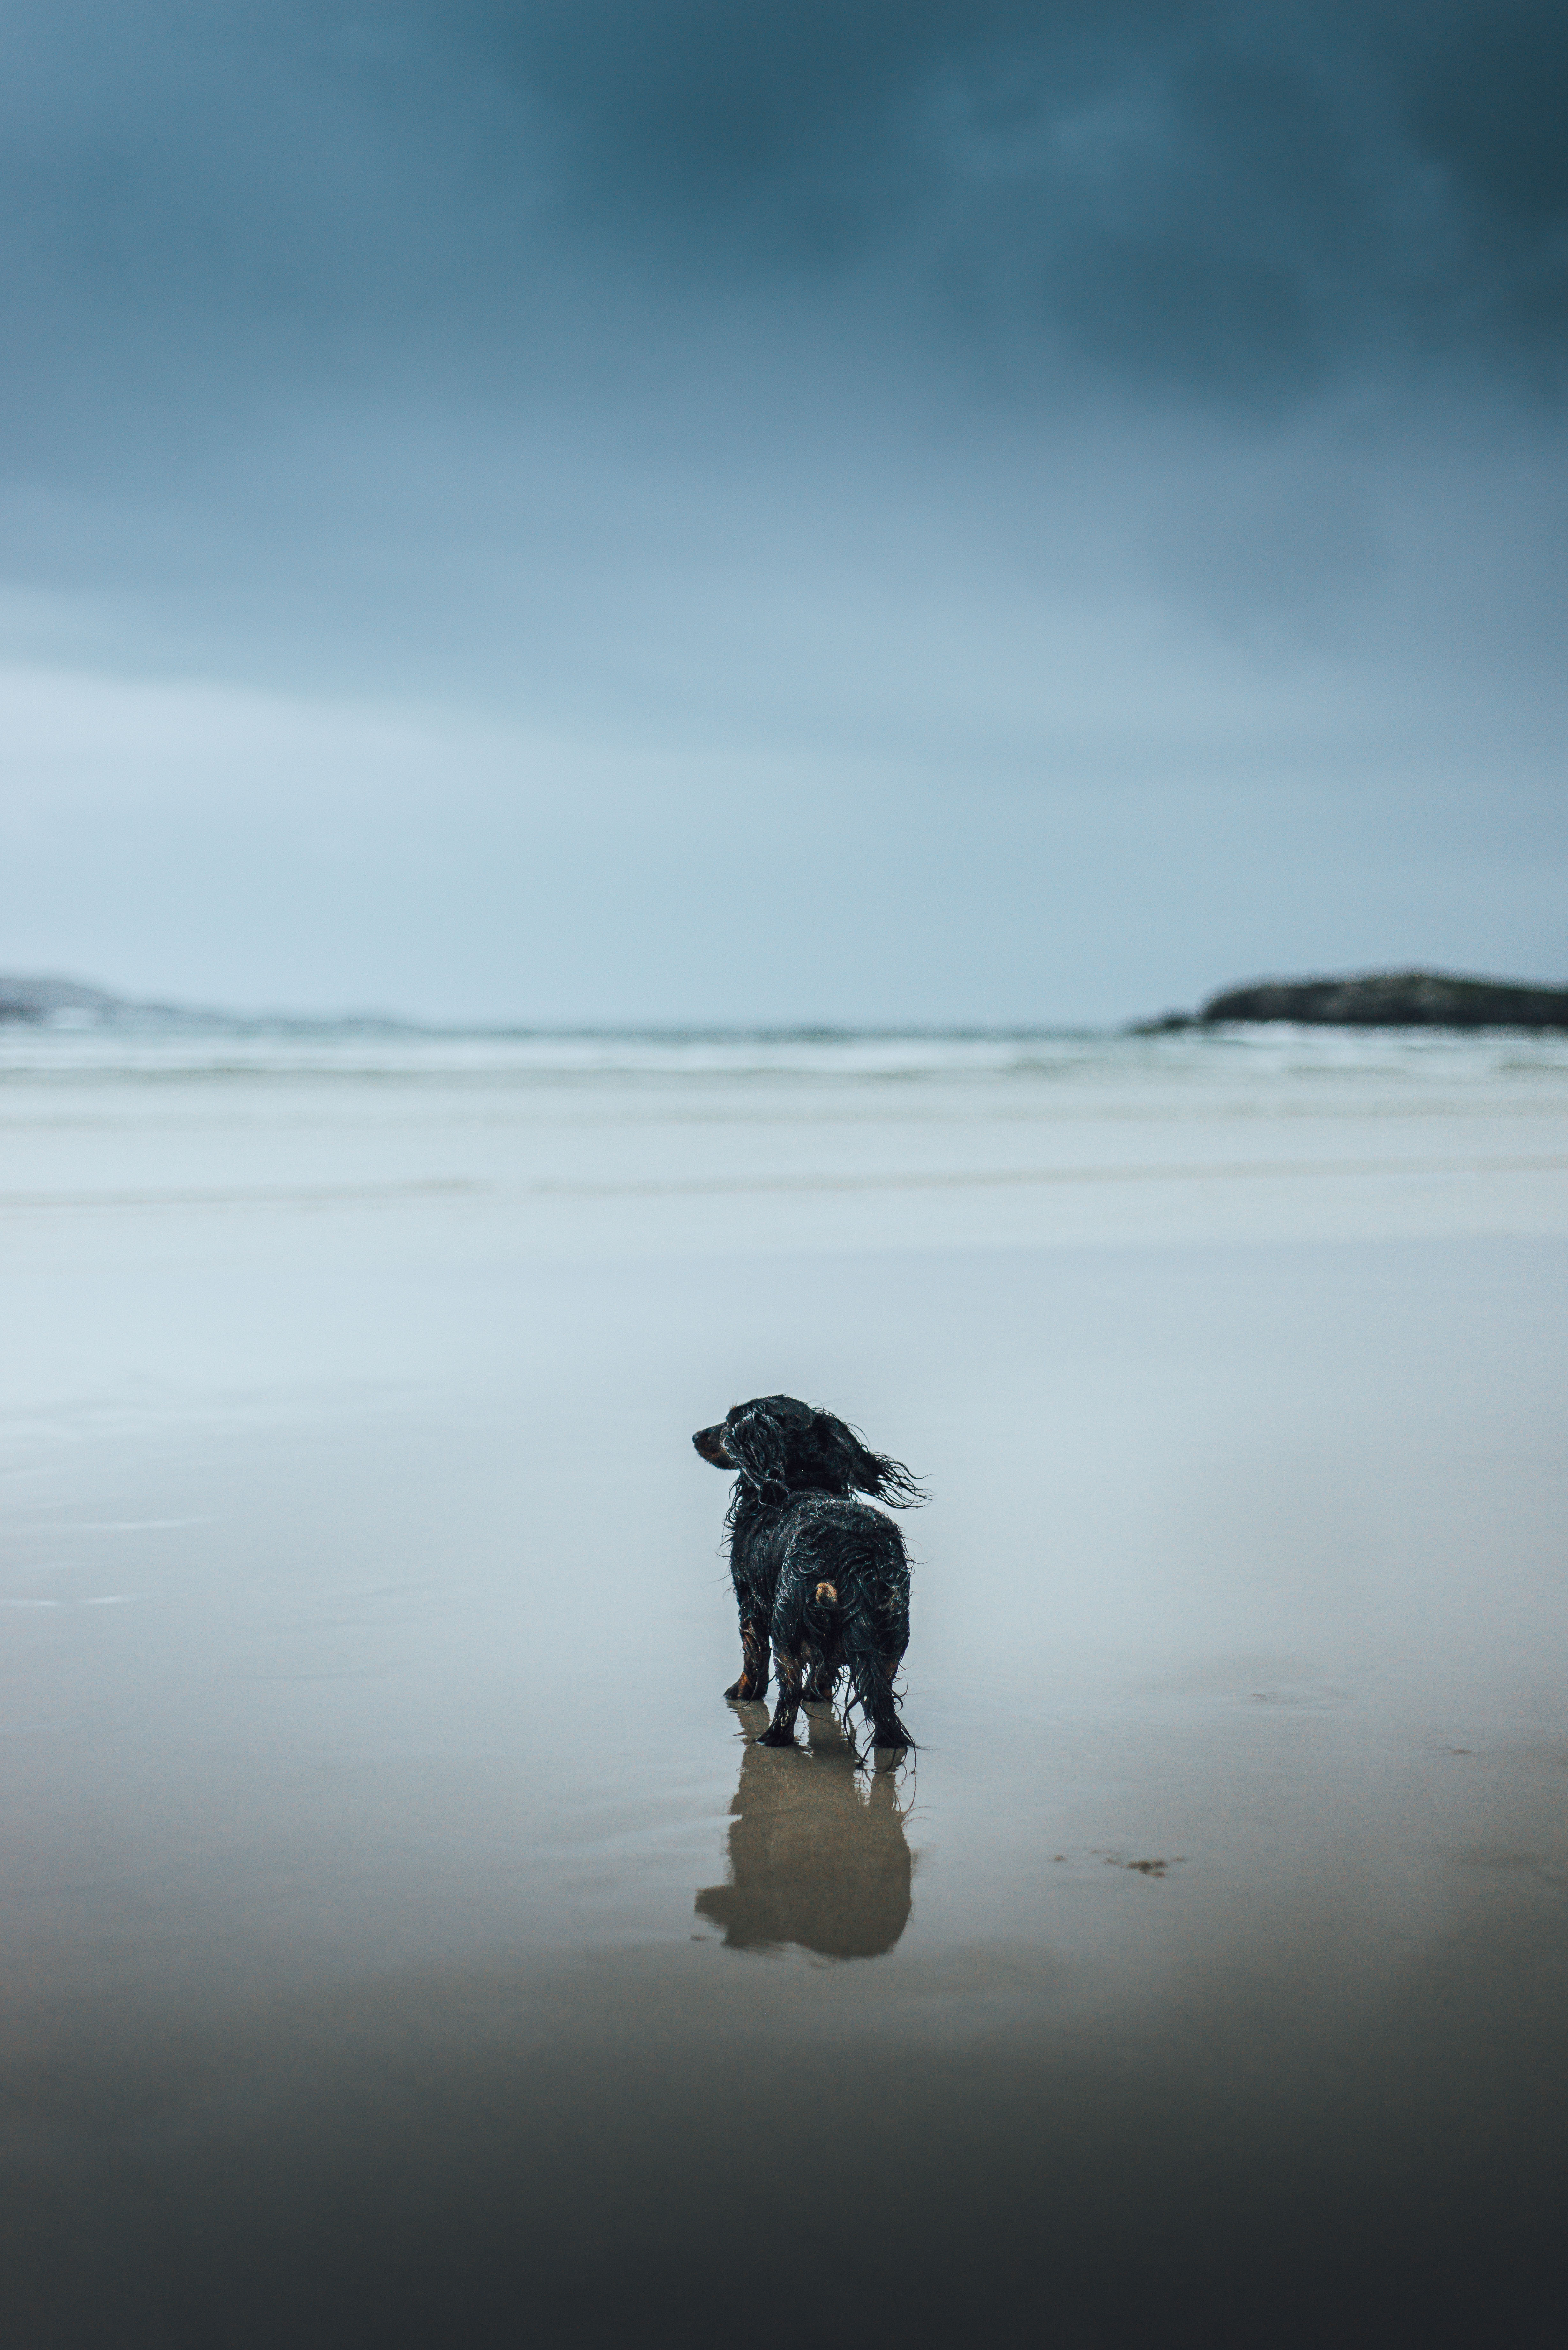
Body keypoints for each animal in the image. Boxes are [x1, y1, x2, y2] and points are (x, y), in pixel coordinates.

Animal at [691, 1382, 926, 1758]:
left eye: (729, 1423)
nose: (696, 1436)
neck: (798, 1483)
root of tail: (852, 1553)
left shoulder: (751, 1602)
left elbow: (752, 1660)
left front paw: (740, 1693)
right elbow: (823, 1674)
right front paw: (818, 1697)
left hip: (785, 1628)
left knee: (786, 1704)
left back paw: (769, 1740)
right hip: (892, 1636)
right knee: (883, 1706)